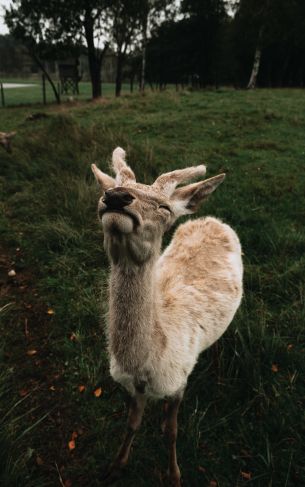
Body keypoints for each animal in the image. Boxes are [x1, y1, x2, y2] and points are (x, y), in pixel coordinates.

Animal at [91, 147, 242, 486]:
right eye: (107, 189)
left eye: (163, 207)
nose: (115, 197)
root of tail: (212, 218)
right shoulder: (132, 388)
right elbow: (132, 424)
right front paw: (115, 466)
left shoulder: (179, 381)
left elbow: (171, 432)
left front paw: (174, 474)